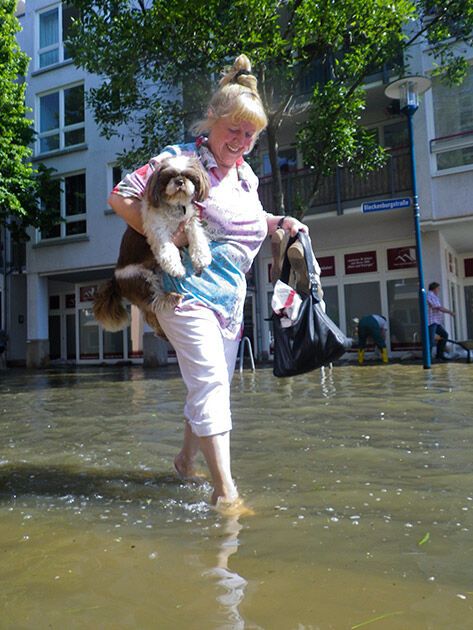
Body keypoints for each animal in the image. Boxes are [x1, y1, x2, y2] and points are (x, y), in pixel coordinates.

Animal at [92, 156, 210, 338]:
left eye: (189, 176)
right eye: (168, 176)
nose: (180, 181)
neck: (175, 205)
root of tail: (116, 281)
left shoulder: (189, 221)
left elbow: (198, 237)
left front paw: (201, 257)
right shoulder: (158, 229)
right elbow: (169, 250)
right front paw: (177, 268)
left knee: (149, 311)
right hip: (142, 278)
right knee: (153, 301)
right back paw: (170, 297)